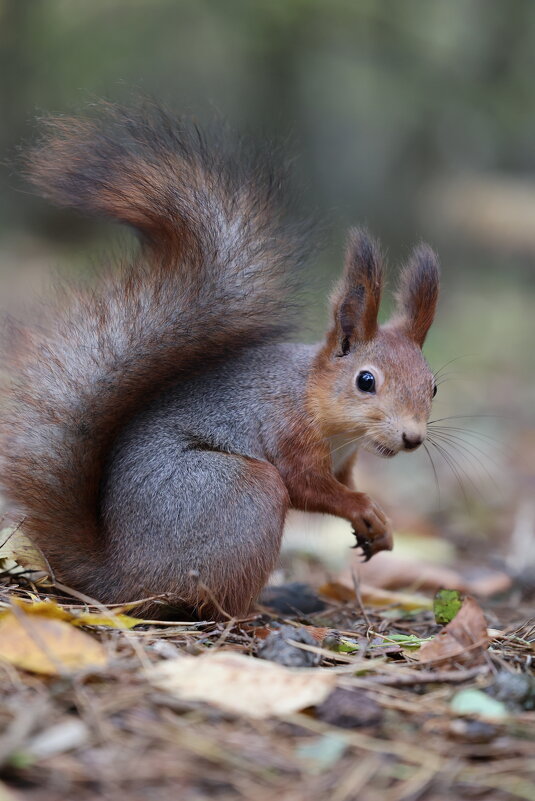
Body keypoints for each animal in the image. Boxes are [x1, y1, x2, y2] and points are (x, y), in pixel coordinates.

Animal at [0, 101, 440, 620]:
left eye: (433, 386)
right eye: (366, 381)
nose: (412, 438)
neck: (322, 408)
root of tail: (120, 579)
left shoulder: (345, 460)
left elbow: (343, 483)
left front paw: (381, 528)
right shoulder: (286, 429)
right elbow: (309, 487)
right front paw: (363, 508)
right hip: (243, 492)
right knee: (219, 601)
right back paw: (262, 610)